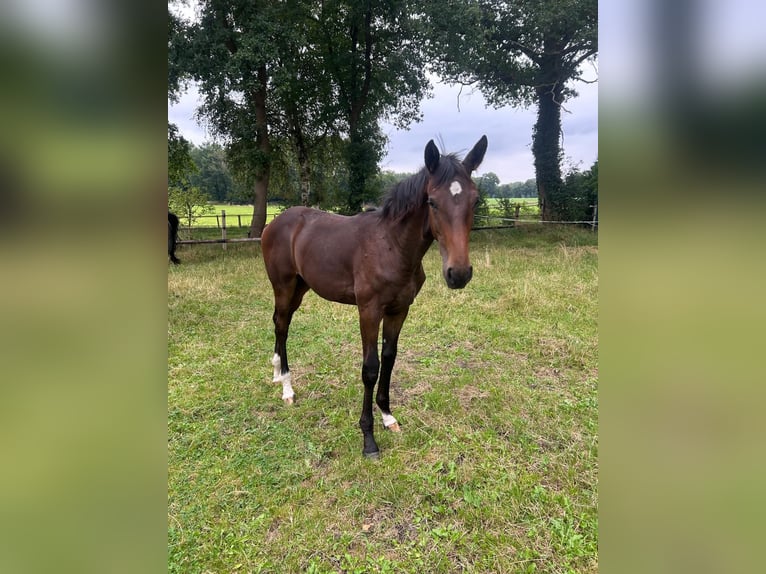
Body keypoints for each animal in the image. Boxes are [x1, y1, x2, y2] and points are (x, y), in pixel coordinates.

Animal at [264, 136, 488, 460]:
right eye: (432, 201)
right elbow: (370, 368)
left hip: (300, 288)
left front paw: (388, 416)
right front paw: (368, 438)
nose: (458, 274)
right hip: (283, 286)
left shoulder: (399, 310)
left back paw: (276, 371)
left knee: (281, 323)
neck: (392, 246)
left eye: (475, 201)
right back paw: (286, 387)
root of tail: (275, 222)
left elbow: (389, 359)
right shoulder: (369, 310)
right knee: (282, 325)